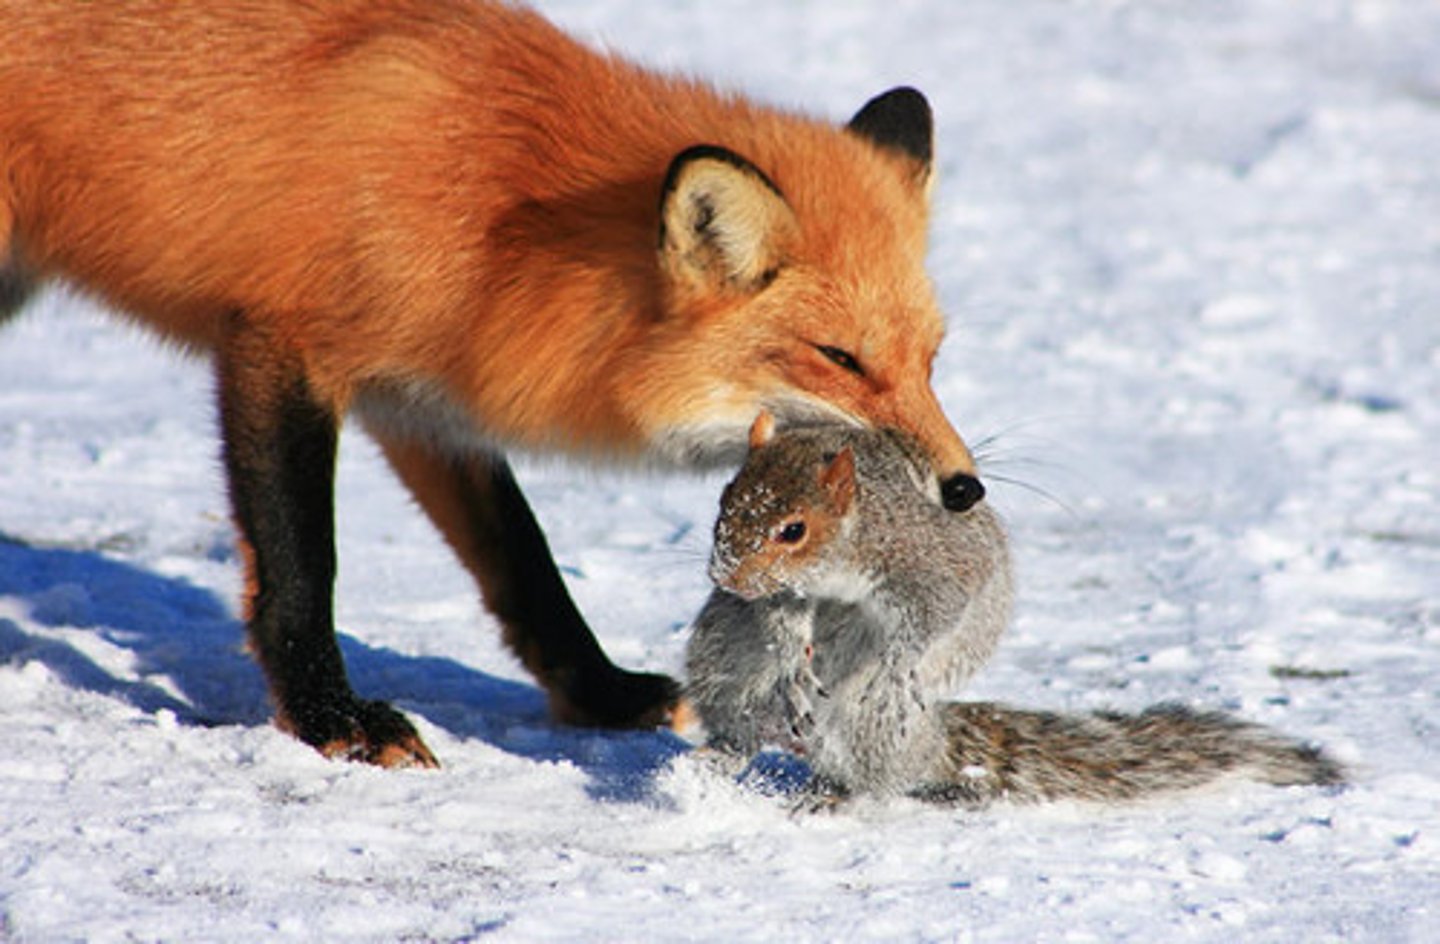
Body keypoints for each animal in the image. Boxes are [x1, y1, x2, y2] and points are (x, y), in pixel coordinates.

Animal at [0, 1, 990, 767]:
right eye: (842, 359)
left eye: (929, 360)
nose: (963, 489)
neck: (491, 219)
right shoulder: (280, 348)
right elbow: (301, 563)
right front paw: (331, 718)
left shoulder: (426, 402)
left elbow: (524, 563)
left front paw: (598, 692)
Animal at [683, 414, 1343, 805]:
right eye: (724, 501)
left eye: (793, 530)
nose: (723, 575)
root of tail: (934, 740)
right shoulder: (786, 593)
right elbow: (781, 620)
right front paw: (793, 663)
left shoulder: (931, 565)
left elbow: (936, 615)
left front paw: (896, 666)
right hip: (721, 662)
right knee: (745, 726)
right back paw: (721, 756)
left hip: (866, 725)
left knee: (876, 776)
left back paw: (839, 792)